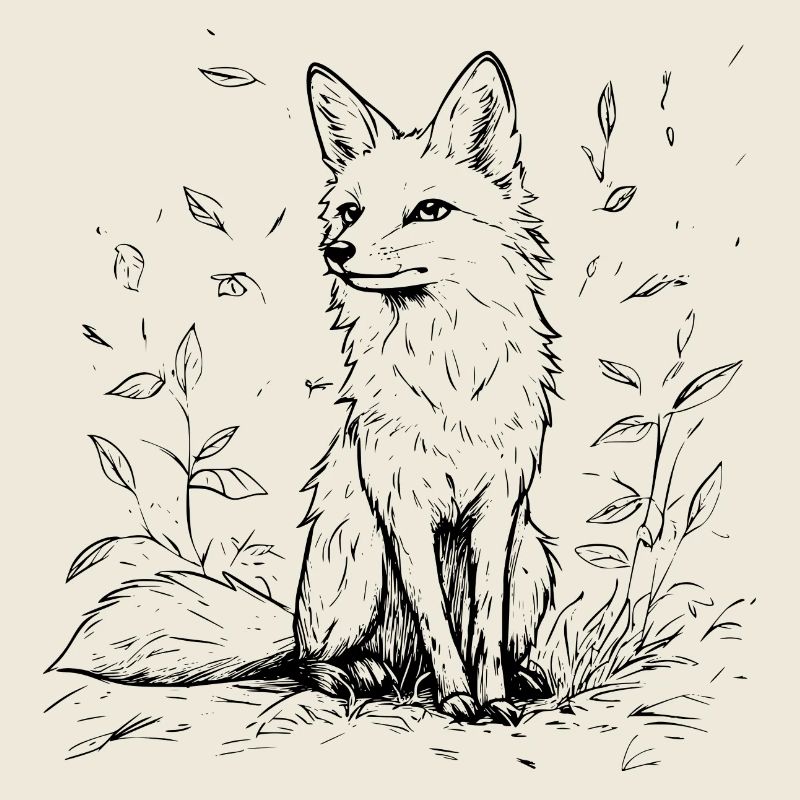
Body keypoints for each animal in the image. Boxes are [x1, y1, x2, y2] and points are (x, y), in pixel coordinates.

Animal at [51, 52, 559, 725]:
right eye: (350, 211)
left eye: (429, 210)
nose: (336, 250)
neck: (446, 370)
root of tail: (294, 623)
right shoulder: (403, 510)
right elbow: (439, 627)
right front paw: (458, 698)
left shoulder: (498, 512)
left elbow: (482, 629)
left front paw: (493, 697)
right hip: (358, 561)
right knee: (313, 662)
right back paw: (363, 675)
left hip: (531, 565)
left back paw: (509, 678)